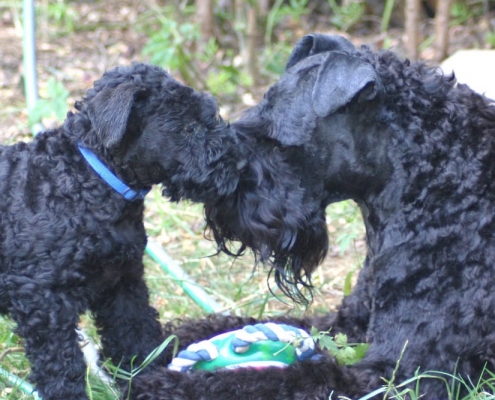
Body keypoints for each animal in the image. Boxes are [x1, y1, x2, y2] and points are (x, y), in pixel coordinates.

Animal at [0, 62, 247, 400]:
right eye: (187, 128)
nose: (242, 163)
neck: (89, 181)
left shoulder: (123, 282)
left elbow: (136, 339)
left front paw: (149, 381)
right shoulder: (45, 304)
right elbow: (61, 369)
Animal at [129, 36, 495, 398]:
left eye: (277, 142)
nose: (220, 200)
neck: (438, 180)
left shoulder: (402, 376)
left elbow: (273, 378)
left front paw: (157, 383)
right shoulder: (344, 325)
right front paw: (158, 345)